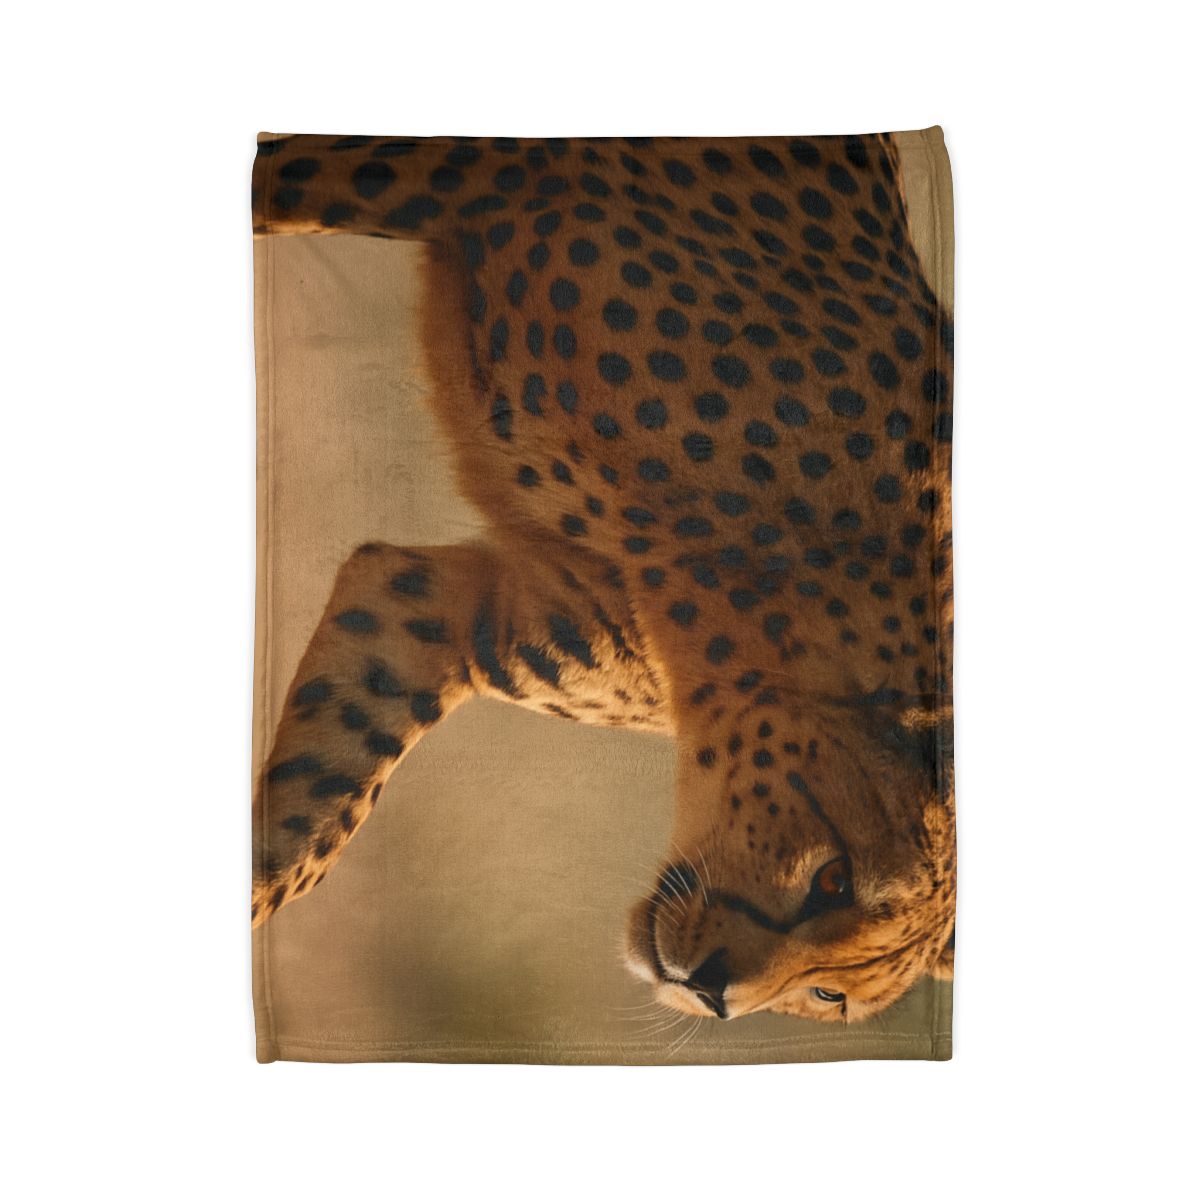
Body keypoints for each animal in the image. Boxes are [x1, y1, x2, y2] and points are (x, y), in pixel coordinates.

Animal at [251, 131, 955, 1024]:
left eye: (829, 993)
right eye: (835, 879)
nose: (712, 992)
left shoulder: (449, 611)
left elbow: (315, 812)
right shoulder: (477, 168)